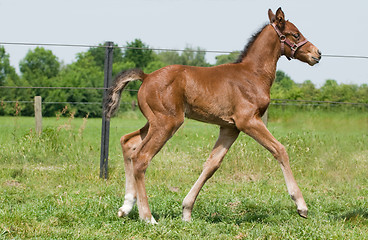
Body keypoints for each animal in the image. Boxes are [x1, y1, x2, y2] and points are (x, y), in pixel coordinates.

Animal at [105, 7, 320, 225]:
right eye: (296, 34)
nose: (316, 53)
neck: (253, 75)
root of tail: (147, 77)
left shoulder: (230, 127)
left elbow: (212, 164)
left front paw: (186, 211)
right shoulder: (248, 121)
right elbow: (279, 149)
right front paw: (301, 205)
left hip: (155, 121)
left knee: (128, 143)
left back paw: (126, 207)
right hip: (167, 123)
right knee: (141, 157)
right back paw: (147, 217)